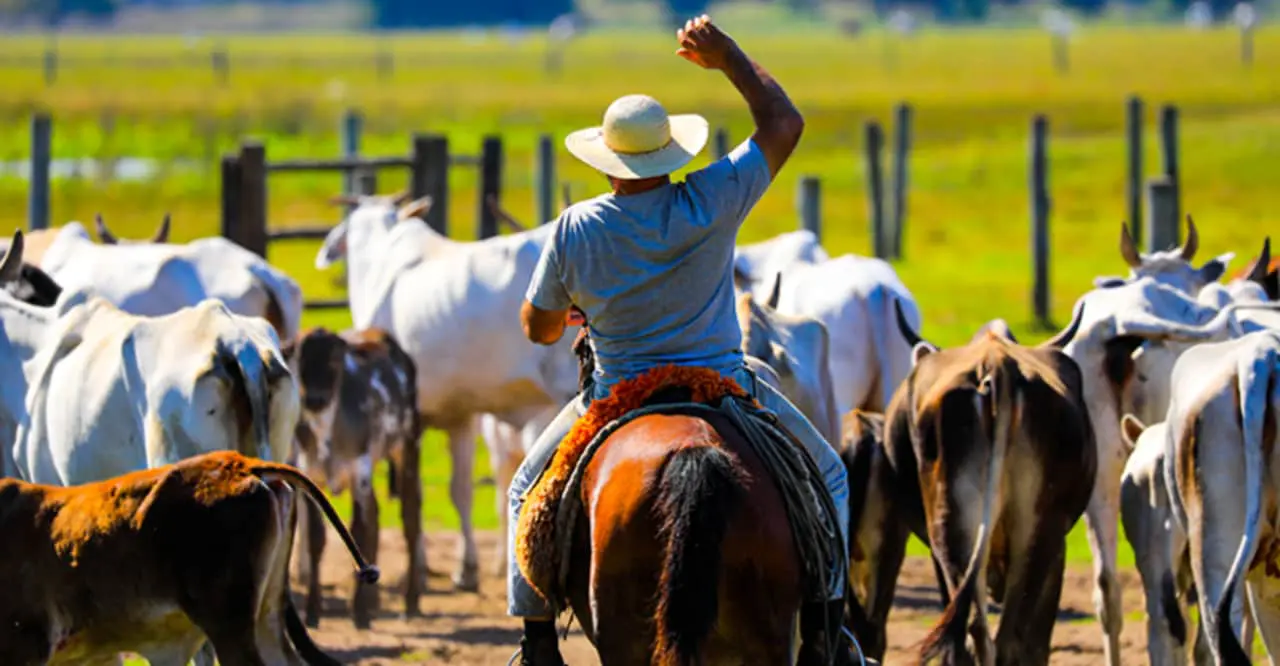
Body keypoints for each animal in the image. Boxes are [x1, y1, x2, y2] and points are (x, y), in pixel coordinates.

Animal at [282, 327, 422, 630]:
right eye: (299, 359)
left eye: (335, 360)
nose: (316, 399)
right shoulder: (310, 475)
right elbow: (316, 539)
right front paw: (313, 611)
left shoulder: (360, 474)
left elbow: (358, 531)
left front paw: (358, 612)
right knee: (376, 515)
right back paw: (374, 599)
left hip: (407, 446)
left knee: (410, 518)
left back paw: (410, 602)